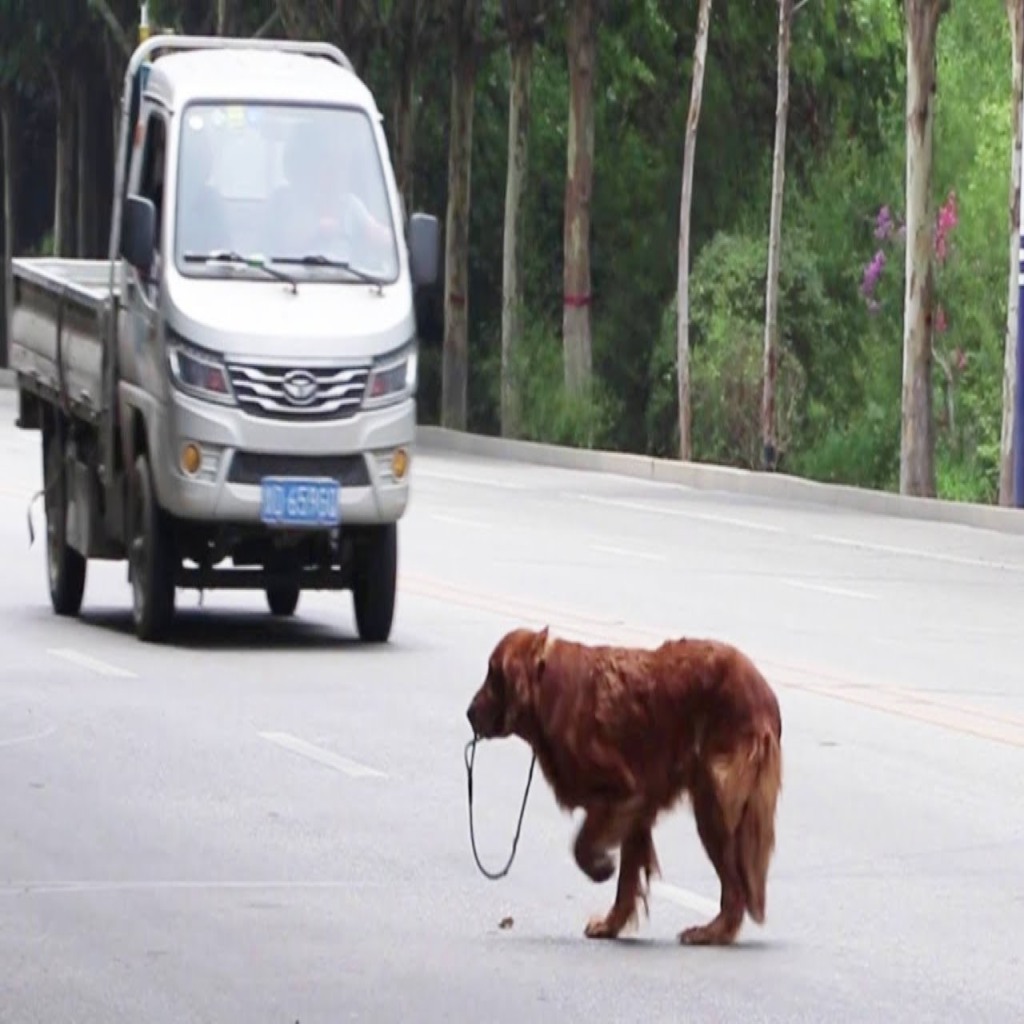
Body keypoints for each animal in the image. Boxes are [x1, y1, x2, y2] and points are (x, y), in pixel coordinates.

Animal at [466, 626, 782, 946]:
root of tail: (763, 693)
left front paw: (601, 868)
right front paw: (611, 924)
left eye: (493, 675)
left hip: (713, 800)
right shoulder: (638, 810)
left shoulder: (626, 792)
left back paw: (712, 932)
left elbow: (581, 846)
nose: (468, 713)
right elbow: (627, 877)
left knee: (735, 888)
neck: (550, 688)